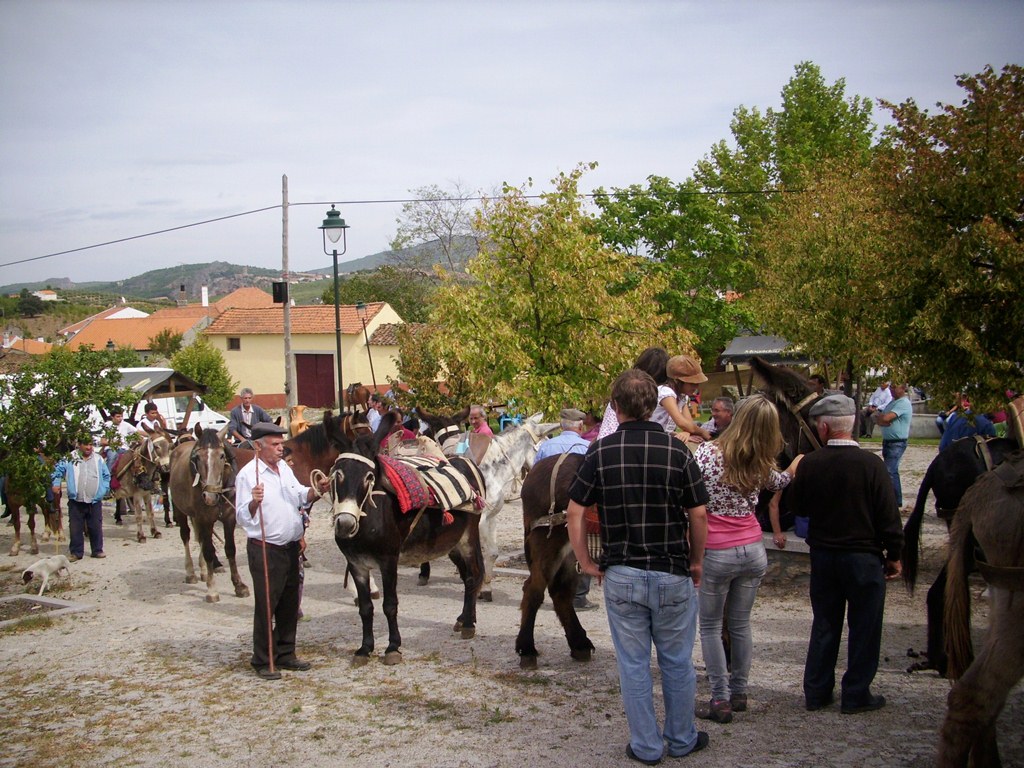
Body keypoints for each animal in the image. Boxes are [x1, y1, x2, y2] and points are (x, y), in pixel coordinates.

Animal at [167, 423, 249, 606]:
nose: (210, 496)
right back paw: (191, 572)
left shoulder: (228, 518)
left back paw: (204, 571)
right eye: (197, 457)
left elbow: (230, 549)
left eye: (222, 455)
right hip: (181, 511)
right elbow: (209, 551)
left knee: (201, 539)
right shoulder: (205, 518)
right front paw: (212, 590)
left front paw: (239, 585)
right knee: (186, 536)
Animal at [319, 409, 487, 667]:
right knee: (468, 574)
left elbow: (390, 605)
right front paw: (364, 649)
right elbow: (366, 607)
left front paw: (392, 648)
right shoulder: (356, 565)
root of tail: (461, 460)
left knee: (473, 575)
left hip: (468, 537)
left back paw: (468, 624)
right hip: (451, 543)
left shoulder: (389, 561)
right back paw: (464, 618)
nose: (345, 525)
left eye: (369, 477)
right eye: (337, 475)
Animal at [516, 454, 598, 671]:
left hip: (571, 551)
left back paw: (579, 644)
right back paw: (527, 649)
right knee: (533, 590)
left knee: (561, 592)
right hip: (548, 542)